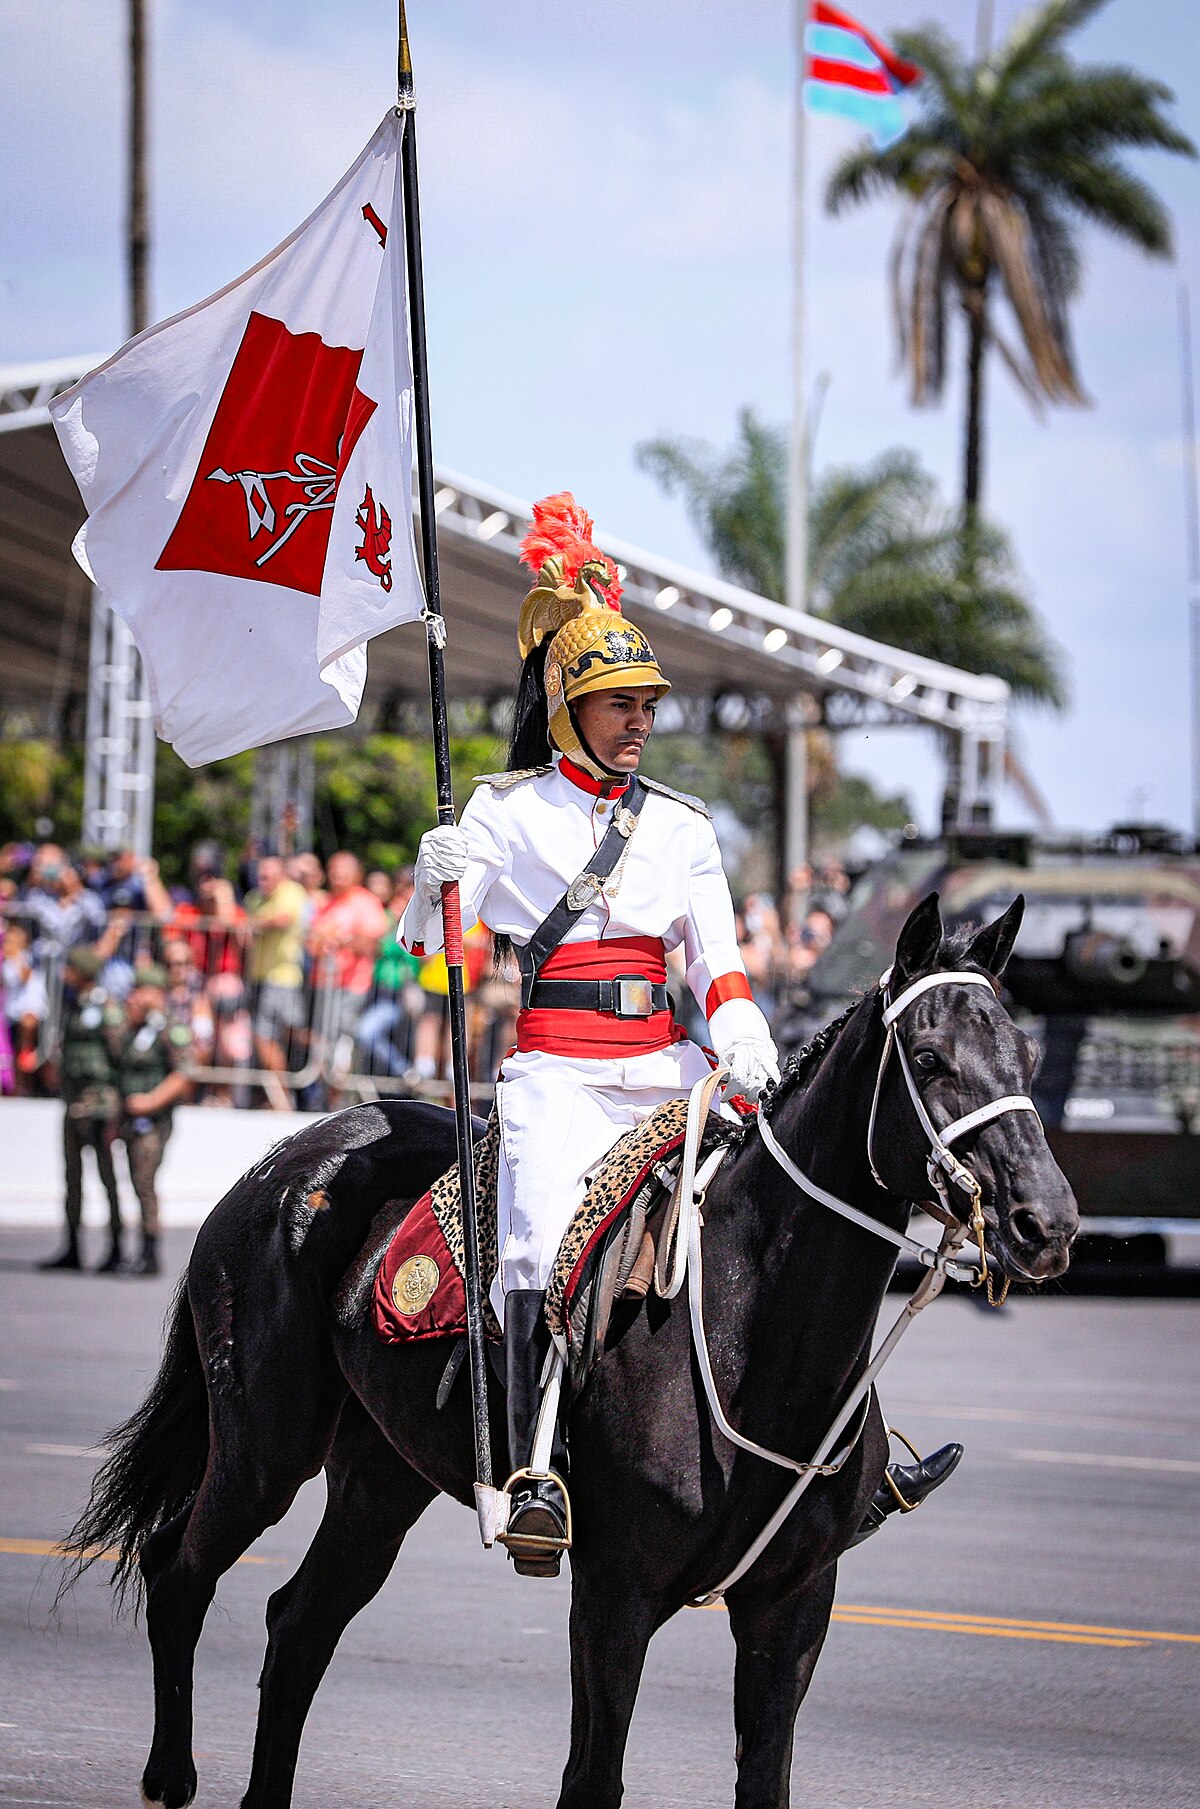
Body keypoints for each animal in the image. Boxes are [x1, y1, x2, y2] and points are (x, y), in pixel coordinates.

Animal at [63, 897, 1078, 1801]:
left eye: (1027, 1054)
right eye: (930, 1058)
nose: (1048, 1222)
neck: (753, 1332)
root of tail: (285, 1157)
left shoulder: (793, 1607)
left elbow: (765, 1779)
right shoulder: (613, 1595)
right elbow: (592, 1779)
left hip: (379, 1478)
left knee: (298, 1626)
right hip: (264, 1453)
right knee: (177, 1570)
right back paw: (170, 1775)